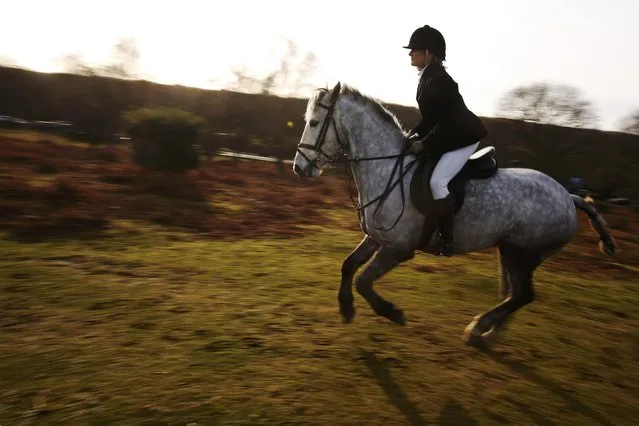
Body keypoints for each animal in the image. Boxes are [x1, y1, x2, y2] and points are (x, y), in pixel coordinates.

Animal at [292, 81, 616, 348]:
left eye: (315, 122)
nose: (300, 168)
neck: (387, 168)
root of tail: (567, 196)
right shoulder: (375, 237)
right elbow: (348, 266)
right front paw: (346, 308)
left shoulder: (398, 248)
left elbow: (363, 281)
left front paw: (392, 313)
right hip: (512, 251)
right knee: (514, 295)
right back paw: (488, 335)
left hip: (523, 253)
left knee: (522, 295)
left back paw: (478, 328)